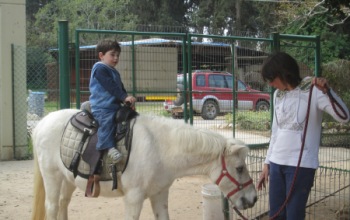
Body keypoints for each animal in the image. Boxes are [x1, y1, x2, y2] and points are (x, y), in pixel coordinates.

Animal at [31, 109, 258, 219]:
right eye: (239, 168)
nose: (254, 198)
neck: (160, 147)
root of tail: (41, 123)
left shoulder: (160, 195)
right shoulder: (133, 198)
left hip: (68, 179)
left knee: (62, 205)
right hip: (52, 177)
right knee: (52, 207)